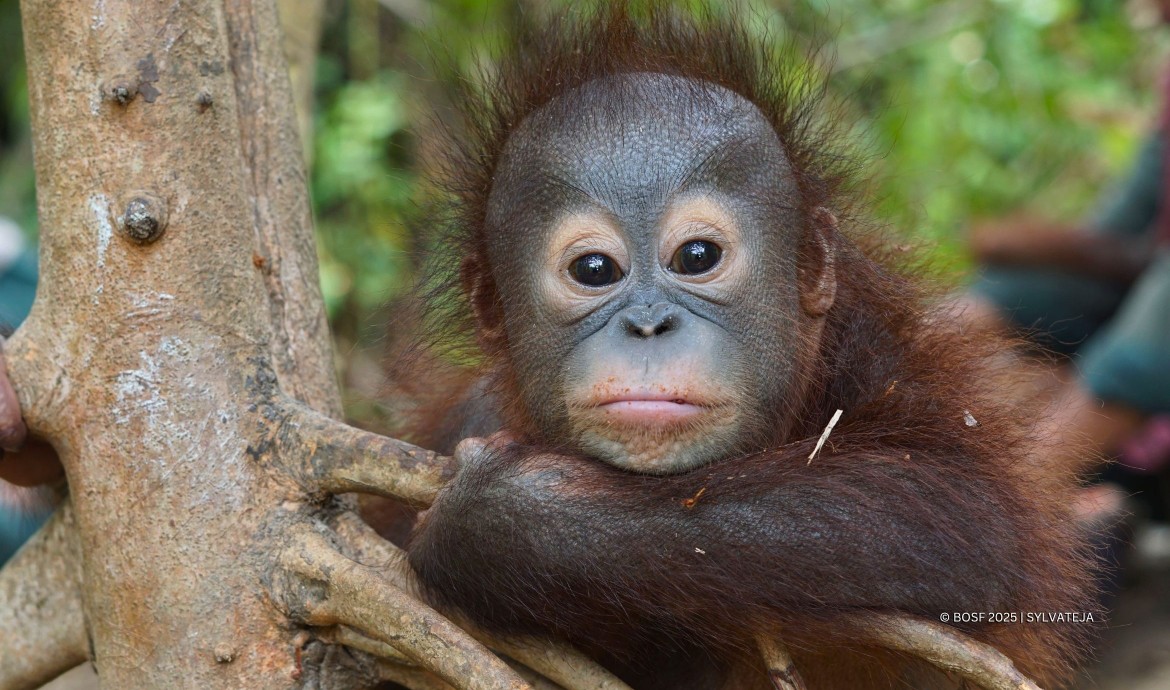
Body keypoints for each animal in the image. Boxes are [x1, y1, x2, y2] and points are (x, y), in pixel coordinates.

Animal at [389, 4, 1097, 690]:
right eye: (593, 270)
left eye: (698, 257)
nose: (649, 325)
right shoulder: (470, 414)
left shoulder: (884, 357)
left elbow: (955, 510)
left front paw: (508, 512)